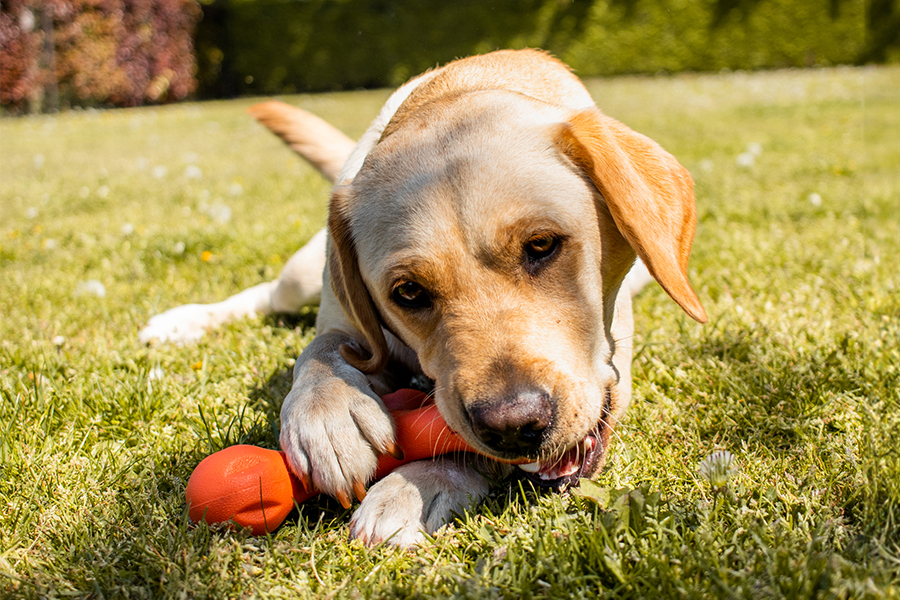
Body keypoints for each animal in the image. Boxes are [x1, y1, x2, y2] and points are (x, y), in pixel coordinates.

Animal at [141, 49, 708, 548]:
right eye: (408, 292)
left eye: (542, 245)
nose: (513, 424)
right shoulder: (346, 325)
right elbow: (319, 351)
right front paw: (328, 414)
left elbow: (461, 446)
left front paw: (415, 486)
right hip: (304, 274)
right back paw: (181, 322)